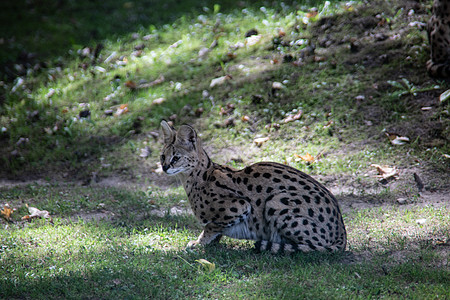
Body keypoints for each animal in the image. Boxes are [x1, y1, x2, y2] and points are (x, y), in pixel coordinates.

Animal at [160, 120, 346, 254]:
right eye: (162, 156)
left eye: (176, 158)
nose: (164, 167)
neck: (196, 178)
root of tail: (342, 232)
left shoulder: (240, 206)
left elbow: (211, 226)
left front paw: (199, 242)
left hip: (276, 200)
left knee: (317, 247)